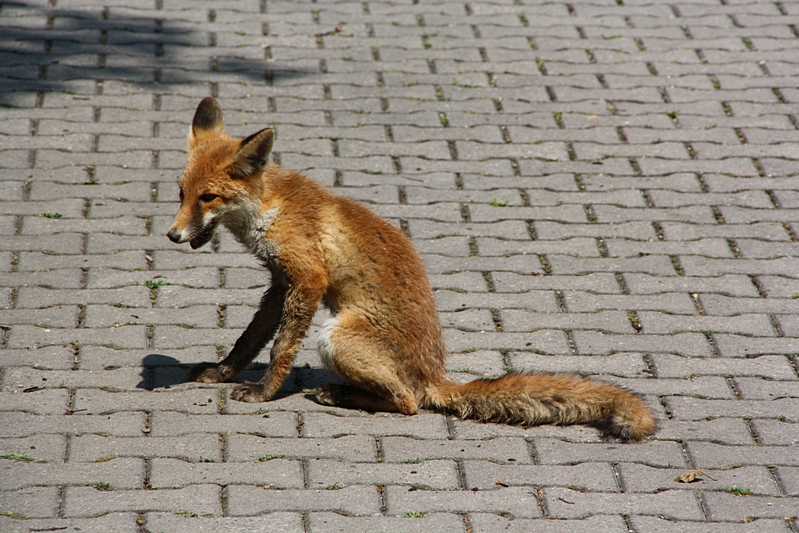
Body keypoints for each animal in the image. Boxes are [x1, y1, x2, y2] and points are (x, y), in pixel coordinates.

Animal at [167, 97, 656, 438]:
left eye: (208, 198)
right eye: (182, 193)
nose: (172, 235)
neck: (272, 208)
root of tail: (434, 374)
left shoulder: (307, 278)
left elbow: (280, 350)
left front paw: (265, 392)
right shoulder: (279, 282)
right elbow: (249, 340)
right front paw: (222, 372)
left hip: (336, 335)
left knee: (409, 402)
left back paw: (340, 394)